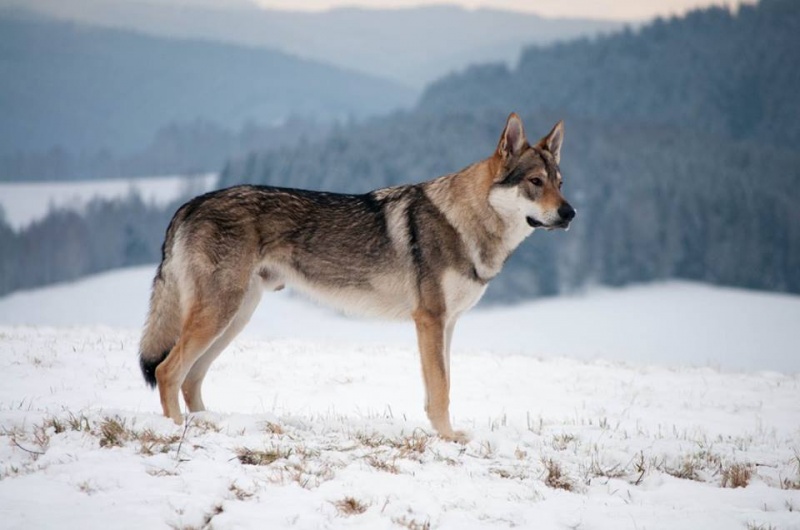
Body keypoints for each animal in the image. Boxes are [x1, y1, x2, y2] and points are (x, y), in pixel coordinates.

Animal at [139, 113, 576, 440]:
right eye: (535, 182)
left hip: (234, 318)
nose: (570, 213)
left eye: (560, 183)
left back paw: (207, 425)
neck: (464, 223)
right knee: (167, 371)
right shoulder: (430, 321)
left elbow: (444, 385)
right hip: (219, 314)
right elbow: (440, 389)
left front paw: (446, 434)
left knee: (191, 378)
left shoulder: (448, 325)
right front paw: (449, 439)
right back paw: (177, 430)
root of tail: (190, 203)